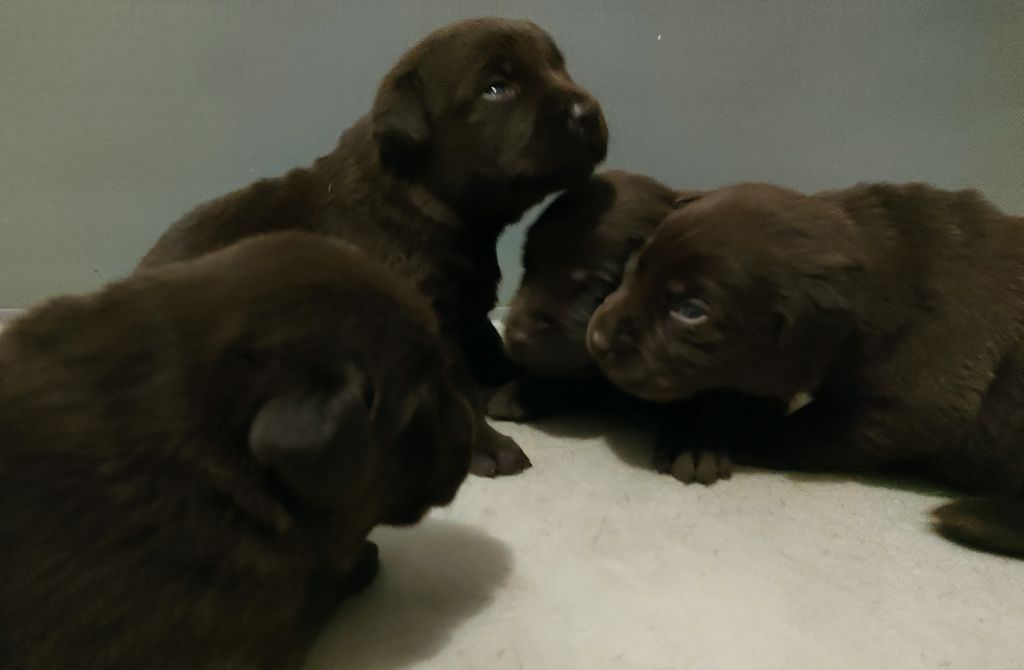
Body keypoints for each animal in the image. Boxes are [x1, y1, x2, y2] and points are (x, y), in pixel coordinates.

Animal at [140, 15, 610, 477]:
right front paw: (487, 446)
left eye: (558, 66)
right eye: (496, 88)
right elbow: (456, 388)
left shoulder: (465, 305)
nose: (587, 111)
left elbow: (491, 346)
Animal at [589, 182, 1024, 557]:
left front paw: (731, 439)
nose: (597, 338)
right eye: (635, 265)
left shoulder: (916, 405)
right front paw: (698, 436)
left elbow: (814, 428)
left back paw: (969, 517)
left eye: (692, 311)